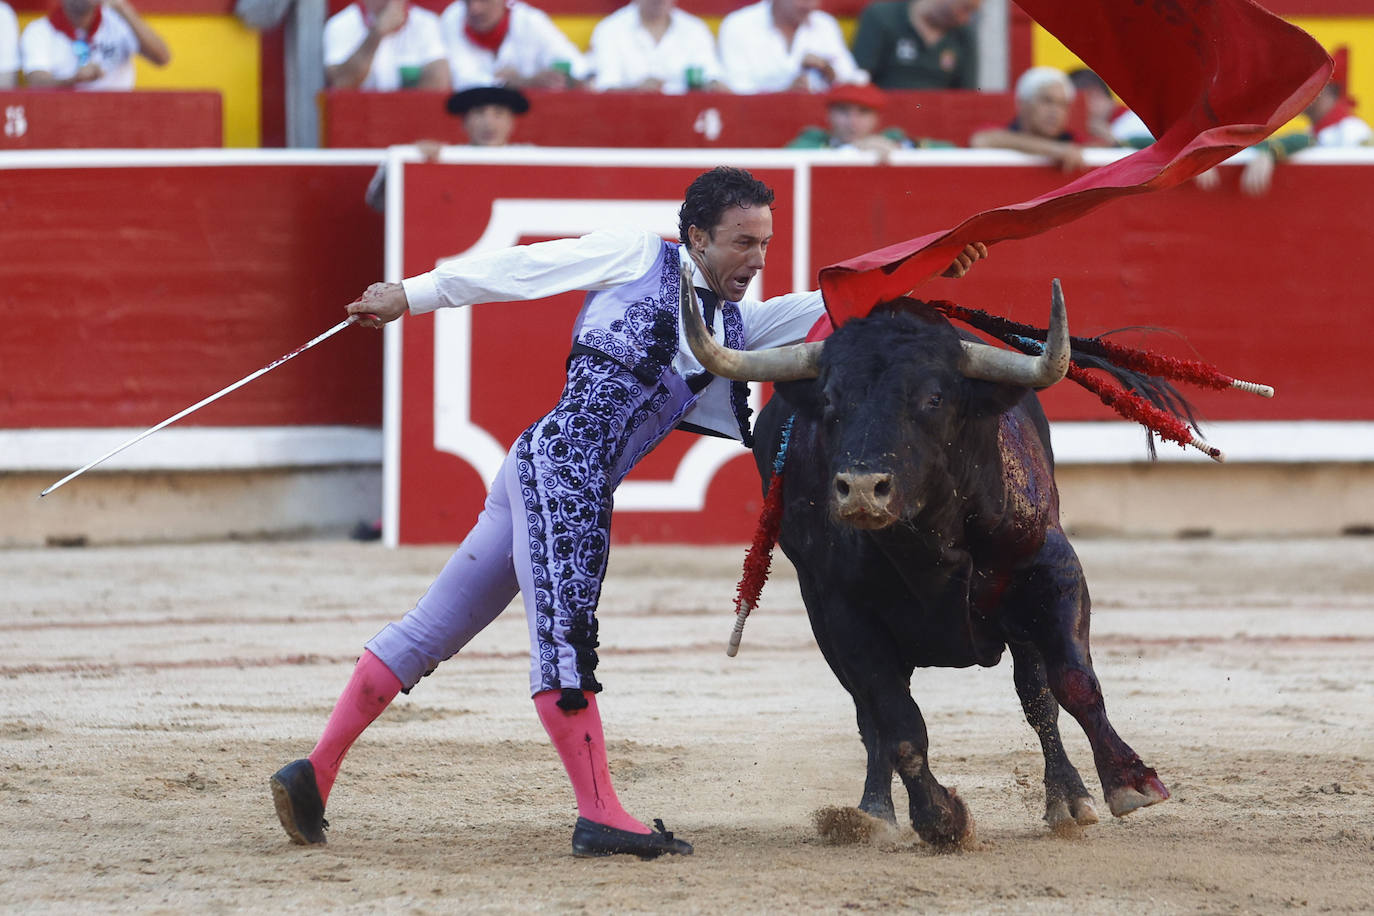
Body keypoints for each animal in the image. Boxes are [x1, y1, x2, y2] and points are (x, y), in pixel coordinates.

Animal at [684, 277, 1170, 845]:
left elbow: (1072, 683)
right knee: (870, 716)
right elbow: (897, 722)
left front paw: (1129, 782)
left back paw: (1068, 800)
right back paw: (871, 813)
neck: (930, 541)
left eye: (934, 398)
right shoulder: (842, 611)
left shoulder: (1052, 570)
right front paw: (940, 818)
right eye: (830, 400)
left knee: (1037, 696)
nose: (861, 489)